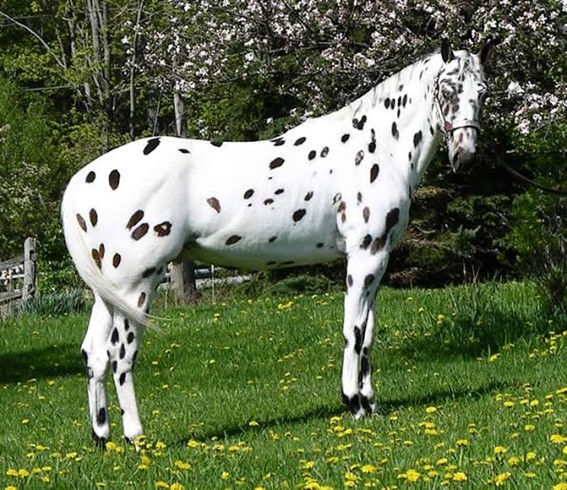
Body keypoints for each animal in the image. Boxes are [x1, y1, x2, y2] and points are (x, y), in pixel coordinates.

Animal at [60, 39, 490, 448]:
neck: (376, 147)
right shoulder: (365, 256)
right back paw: (136, 437)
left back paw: (103, 438)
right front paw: (354, 403)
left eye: (482, 91)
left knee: (93, 354)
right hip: (136, 287)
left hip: (109, 292)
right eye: (447, 88)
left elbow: (368, 332)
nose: (466, 157)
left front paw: (371, 404)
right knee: (120, 355)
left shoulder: (377, 258)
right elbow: (353, 330)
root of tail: (83, 180)